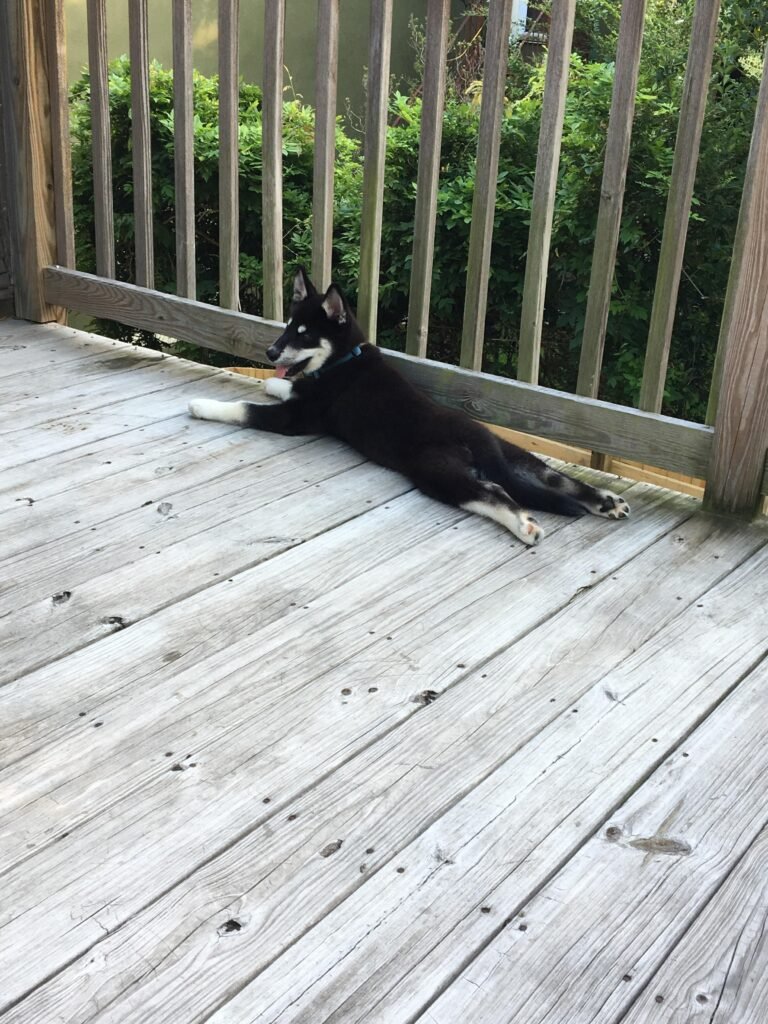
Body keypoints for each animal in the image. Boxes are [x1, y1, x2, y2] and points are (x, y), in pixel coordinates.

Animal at [188, 268, 630, 548]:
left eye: (305, 334)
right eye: (286, 327)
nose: (269, 352)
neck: (344, 359)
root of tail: (478, 439)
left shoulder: (299, 419)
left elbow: (245, 408)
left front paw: (201, 404)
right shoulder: (307, 402)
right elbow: (288, 385)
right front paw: (274, 380)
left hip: (436, 472)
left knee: (492, 491)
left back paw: (524, 525)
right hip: (516, 455)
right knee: (557, 480)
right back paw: (606, 502)